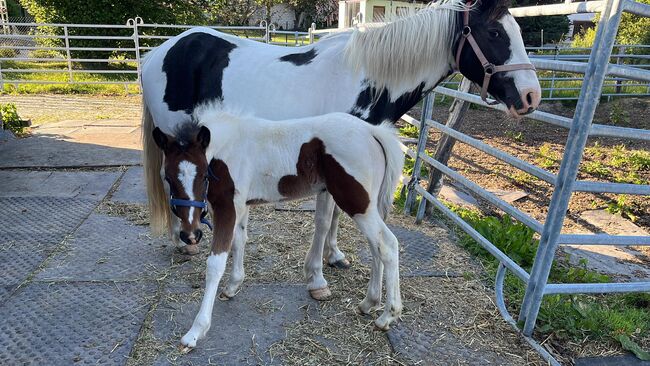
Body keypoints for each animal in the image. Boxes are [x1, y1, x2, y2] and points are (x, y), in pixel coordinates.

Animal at [154, 108, 402, 352]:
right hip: (367, 205)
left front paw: (195, 332)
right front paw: (233, 285)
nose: (190, 235)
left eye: (205, 175)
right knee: (376, 247)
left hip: (358, 204)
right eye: (168, 177)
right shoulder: (242, 205)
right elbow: (239, 240)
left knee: (387, 245)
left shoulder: (227, 207)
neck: (226, 148)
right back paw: (369, 303)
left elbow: (215, 264)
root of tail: (373, 131)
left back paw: (387, 316)